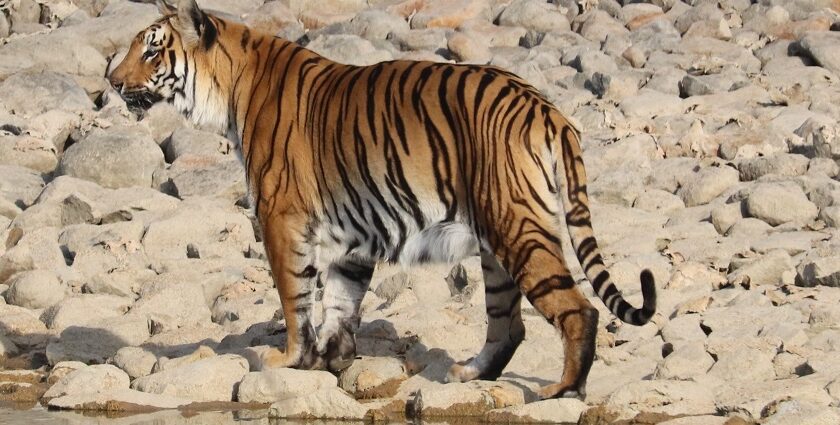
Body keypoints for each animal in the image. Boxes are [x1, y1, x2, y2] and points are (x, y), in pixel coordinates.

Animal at [108, 0, 656, 398]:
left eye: (151, 52)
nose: (112, 82)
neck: (230, 87)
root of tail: (547, 108)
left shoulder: (280, 217)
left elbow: (294, 297)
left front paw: (288, 359)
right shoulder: (351, 232)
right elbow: (339, 300)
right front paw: (331, 358)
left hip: (517, 227)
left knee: (578, 310)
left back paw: (562, 391)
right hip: (497, 243)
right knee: (509, 325)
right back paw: (469, 375)